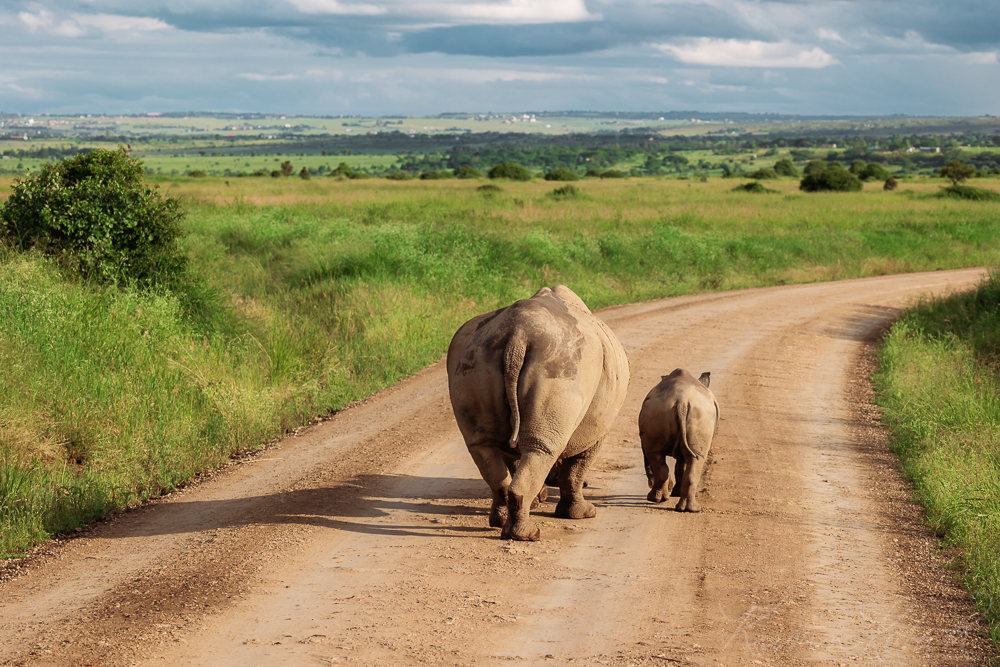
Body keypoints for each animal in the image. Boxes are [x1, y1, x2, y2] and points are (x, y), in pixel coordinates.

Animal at [447, 285, 630, 541]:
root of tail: (518, 333)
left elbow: (514, 458)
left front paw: (538, 502)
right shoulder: (598, 429)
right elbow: (576, 468)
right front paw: (581, 514)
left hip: (472, 356)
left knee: (483, 445)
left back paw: (501, 523)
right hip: (564, 365)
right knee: (542, 449)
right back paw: (529, 535)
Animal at [638, 369, 720, 512]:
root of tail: (682, 402)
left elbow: (680, 465)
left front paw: (676, 492)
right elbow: (681, 465)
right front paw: (676, 492)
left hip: (662, 409)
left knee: (656, 454)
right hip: (693, 412)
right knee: (693, 458)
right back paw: (688, 508)